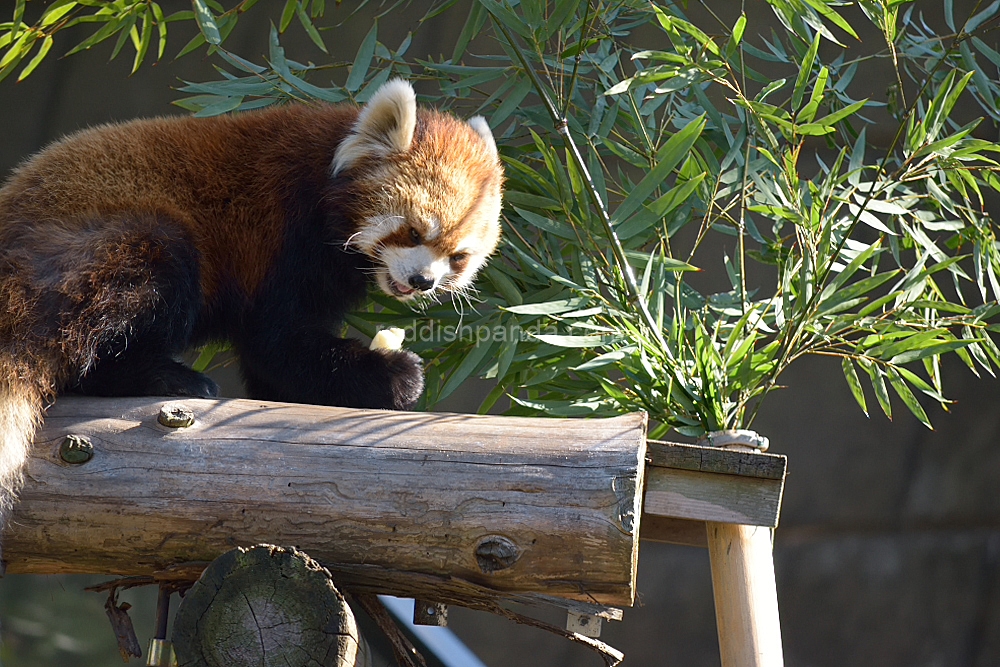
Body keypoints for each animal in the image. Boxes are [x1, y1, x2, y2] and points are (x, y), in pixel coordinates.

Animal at [0, 79, 504, 532]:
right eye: (414, 232)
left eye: (457, 256)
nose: (423, 281)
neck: (321, 179)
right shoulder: (281, 242)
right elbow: (275, 345)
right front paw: (395, 374)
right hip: (118, 246)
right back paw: (165, 376)